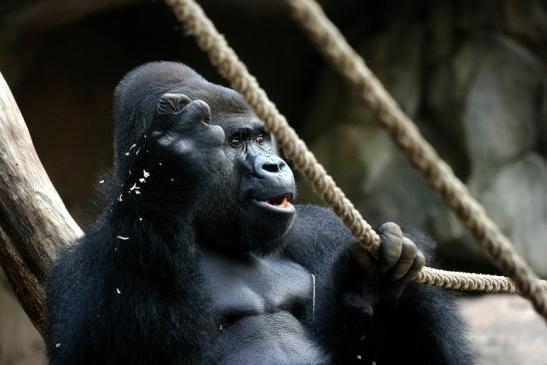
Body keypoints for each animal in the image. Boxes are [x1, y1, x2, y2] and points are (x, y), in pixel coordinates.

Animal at [46, 62, 476, 364]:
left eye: (260, 136)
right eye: (236, 142)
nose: (274, 165)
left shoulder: (320, 229)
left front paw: (376, 284)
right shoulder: (79, 263)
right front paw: (169, 166)